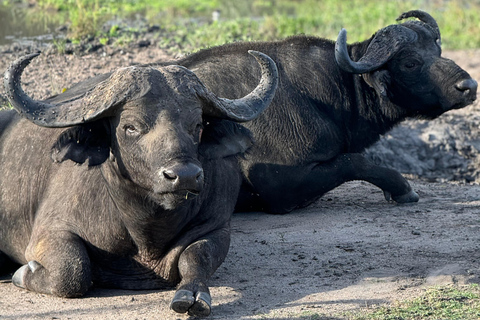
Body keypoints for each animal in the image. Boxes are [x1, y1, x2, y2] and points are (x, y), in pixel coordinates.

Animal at [0, 50, 278, 318]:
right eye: (131, 127)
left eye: (197, 125)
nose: (185, 175)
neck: (145, 230)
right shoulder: (51, 231)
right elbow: (72, 270)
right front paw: (22, 272)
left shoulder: (216, 227)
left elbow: (196, 257)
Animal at [159, 9, 478, 212]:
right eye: (410, 62)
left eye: (437, 52)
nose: (469, 85)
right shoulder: (278, 184)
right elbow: (354, 161)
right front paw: (402, 188)